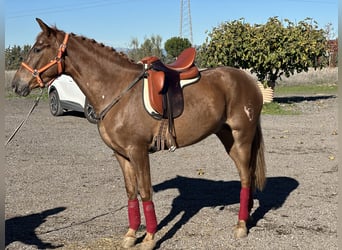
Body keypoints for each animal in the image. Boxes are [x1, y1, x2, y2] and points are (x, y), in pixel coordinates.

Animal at [12, 18, 266, 249]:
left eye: (38, 48)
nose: (16, 84)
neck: (117, 90)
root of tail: (249, 79)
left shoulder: (138, 151)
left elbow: (145, 192)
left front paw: (150, 238)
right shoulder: (121, 155)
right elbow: (131, 193)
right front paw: (131, 235)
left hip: (242, 137)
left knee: (246, 176)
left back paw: (241, 226)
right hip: (227, 137)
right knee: (247, 174)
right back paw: (247, 216)